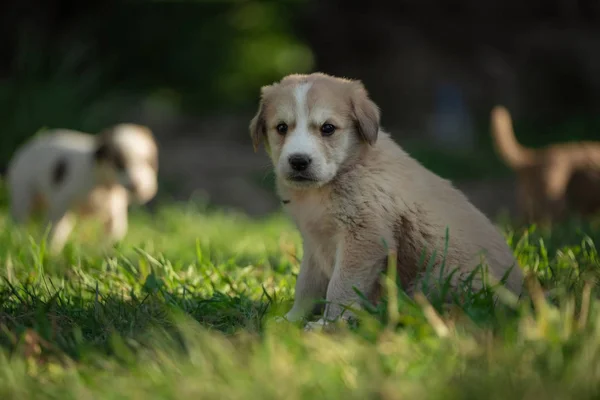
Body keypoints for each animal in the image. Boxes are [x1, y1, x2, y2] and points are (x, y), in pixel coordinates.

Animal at [6, 123, 159, 253]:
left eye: (148, 162)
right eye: (120, 164)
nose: (138, 188)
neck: (103, 182)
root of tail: (26, 146)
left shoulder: (114, 208)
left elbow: (114, 232)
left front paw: (106, 254)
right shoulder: (62, 202)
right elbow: (55, 230)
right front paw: (51, 252)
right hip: (23, 190)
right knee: (22, 217)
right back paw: (19, 236)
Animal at [251, 72, 524, 328]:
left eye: (327, 128)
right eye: (282, 128)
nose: (299, 161)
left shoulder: (363, 239)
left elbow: (340, 286)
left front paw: (329, 324)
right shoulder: (313, 243)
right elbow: (306, 286)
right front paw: (291, 319)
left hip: (441, 278)